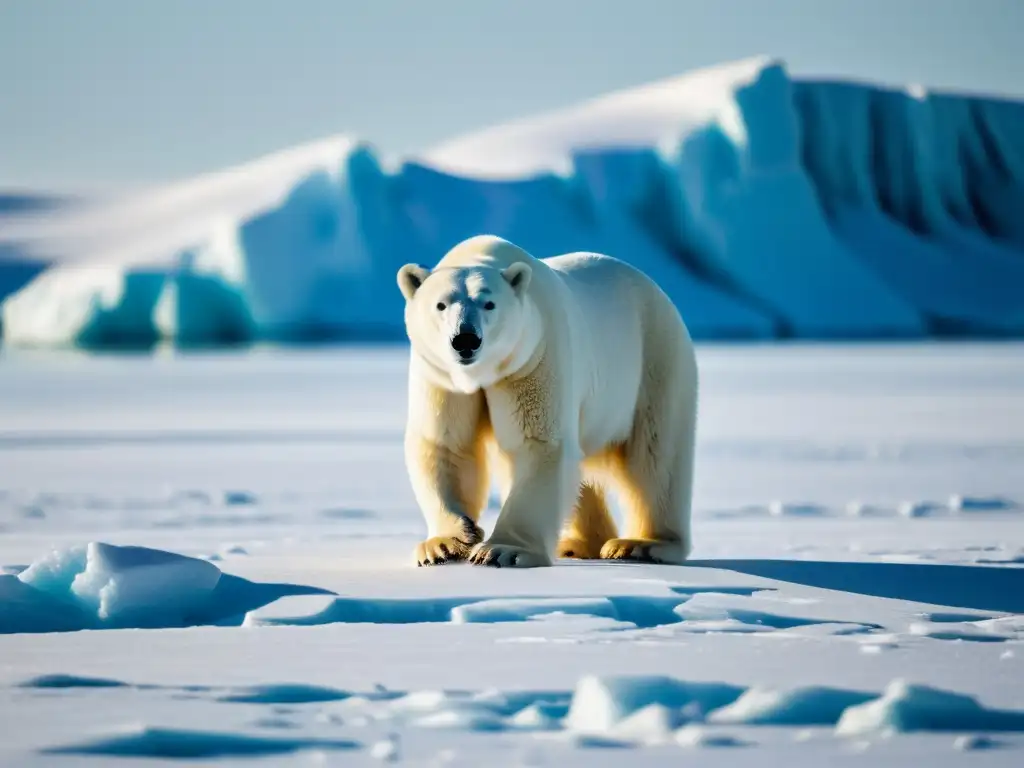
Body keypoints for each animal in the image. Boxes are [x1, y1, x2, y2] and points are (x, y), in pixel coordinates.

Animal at [395, 237, 700, 569]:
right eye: (441, 304)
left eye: (489, 304)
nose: (465, 339)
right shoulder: (442, 378)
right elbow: (445, 442)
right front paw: (445, 544)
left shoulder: (534, 357)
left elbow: (538, 442)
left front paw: (502, 551)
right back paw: (578, 544)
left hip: (655, 362)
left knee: (655, 456)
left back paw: (641, 545)